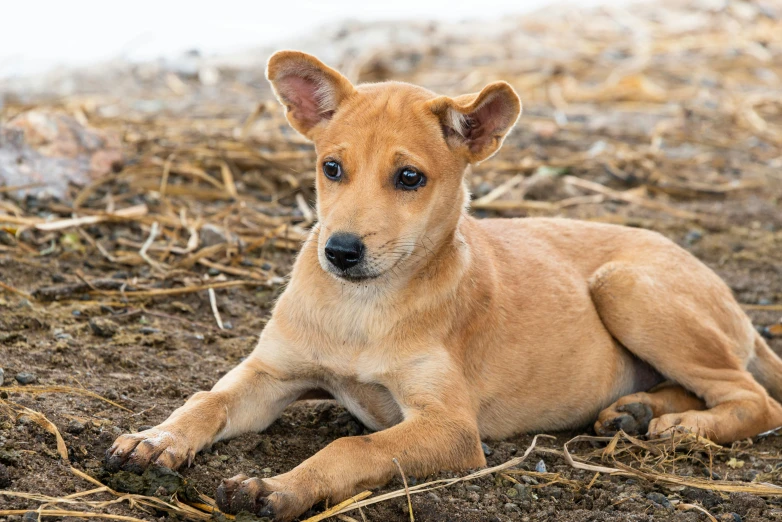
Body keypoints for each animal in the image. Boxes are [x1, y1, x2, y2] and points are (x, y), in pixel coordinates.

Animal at [107, 49, 782, 520]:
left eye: (410, 177)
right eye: (332, 168)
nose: (340, 251)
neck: (361, 306)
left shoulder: (451, 427)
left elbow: (354, 450)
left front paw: (278, 488)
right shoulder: (271, 374)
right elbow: (207, 400)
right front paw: (156, 439)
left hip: (626, 286)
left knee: (755, 398)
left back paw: (683, 428)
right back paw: (637, 411)